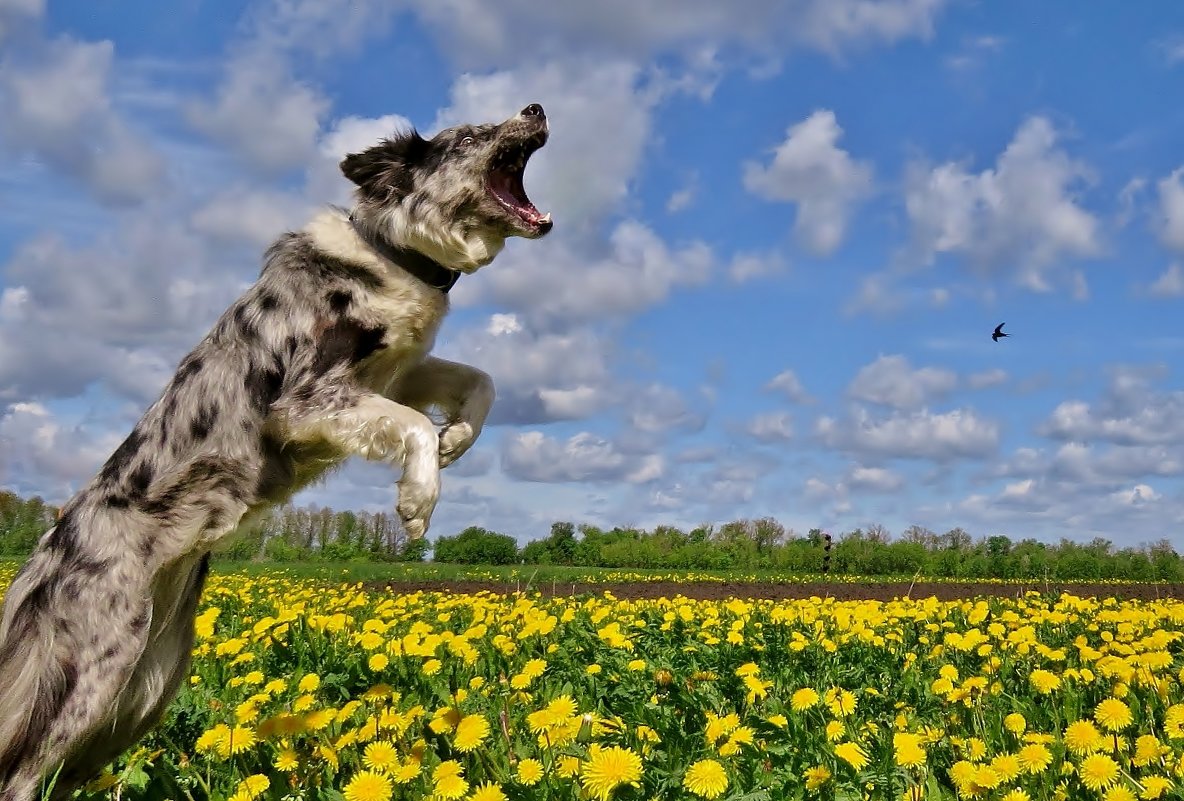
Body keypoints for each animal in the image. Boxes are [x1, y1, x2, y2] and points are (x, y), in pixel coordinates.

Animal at [0, 102, 554, 795]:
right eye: (473, 135)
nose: (536, 108)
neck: (394, 251)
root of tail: (41, 560)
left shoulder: (394, 374)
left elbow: (479, 382)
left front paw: (457, 440)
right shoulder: (305, 399)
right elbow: (414, 426)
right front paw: (417, 501)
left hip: (146, 688)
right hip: (92, 674)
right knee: (23, 774)